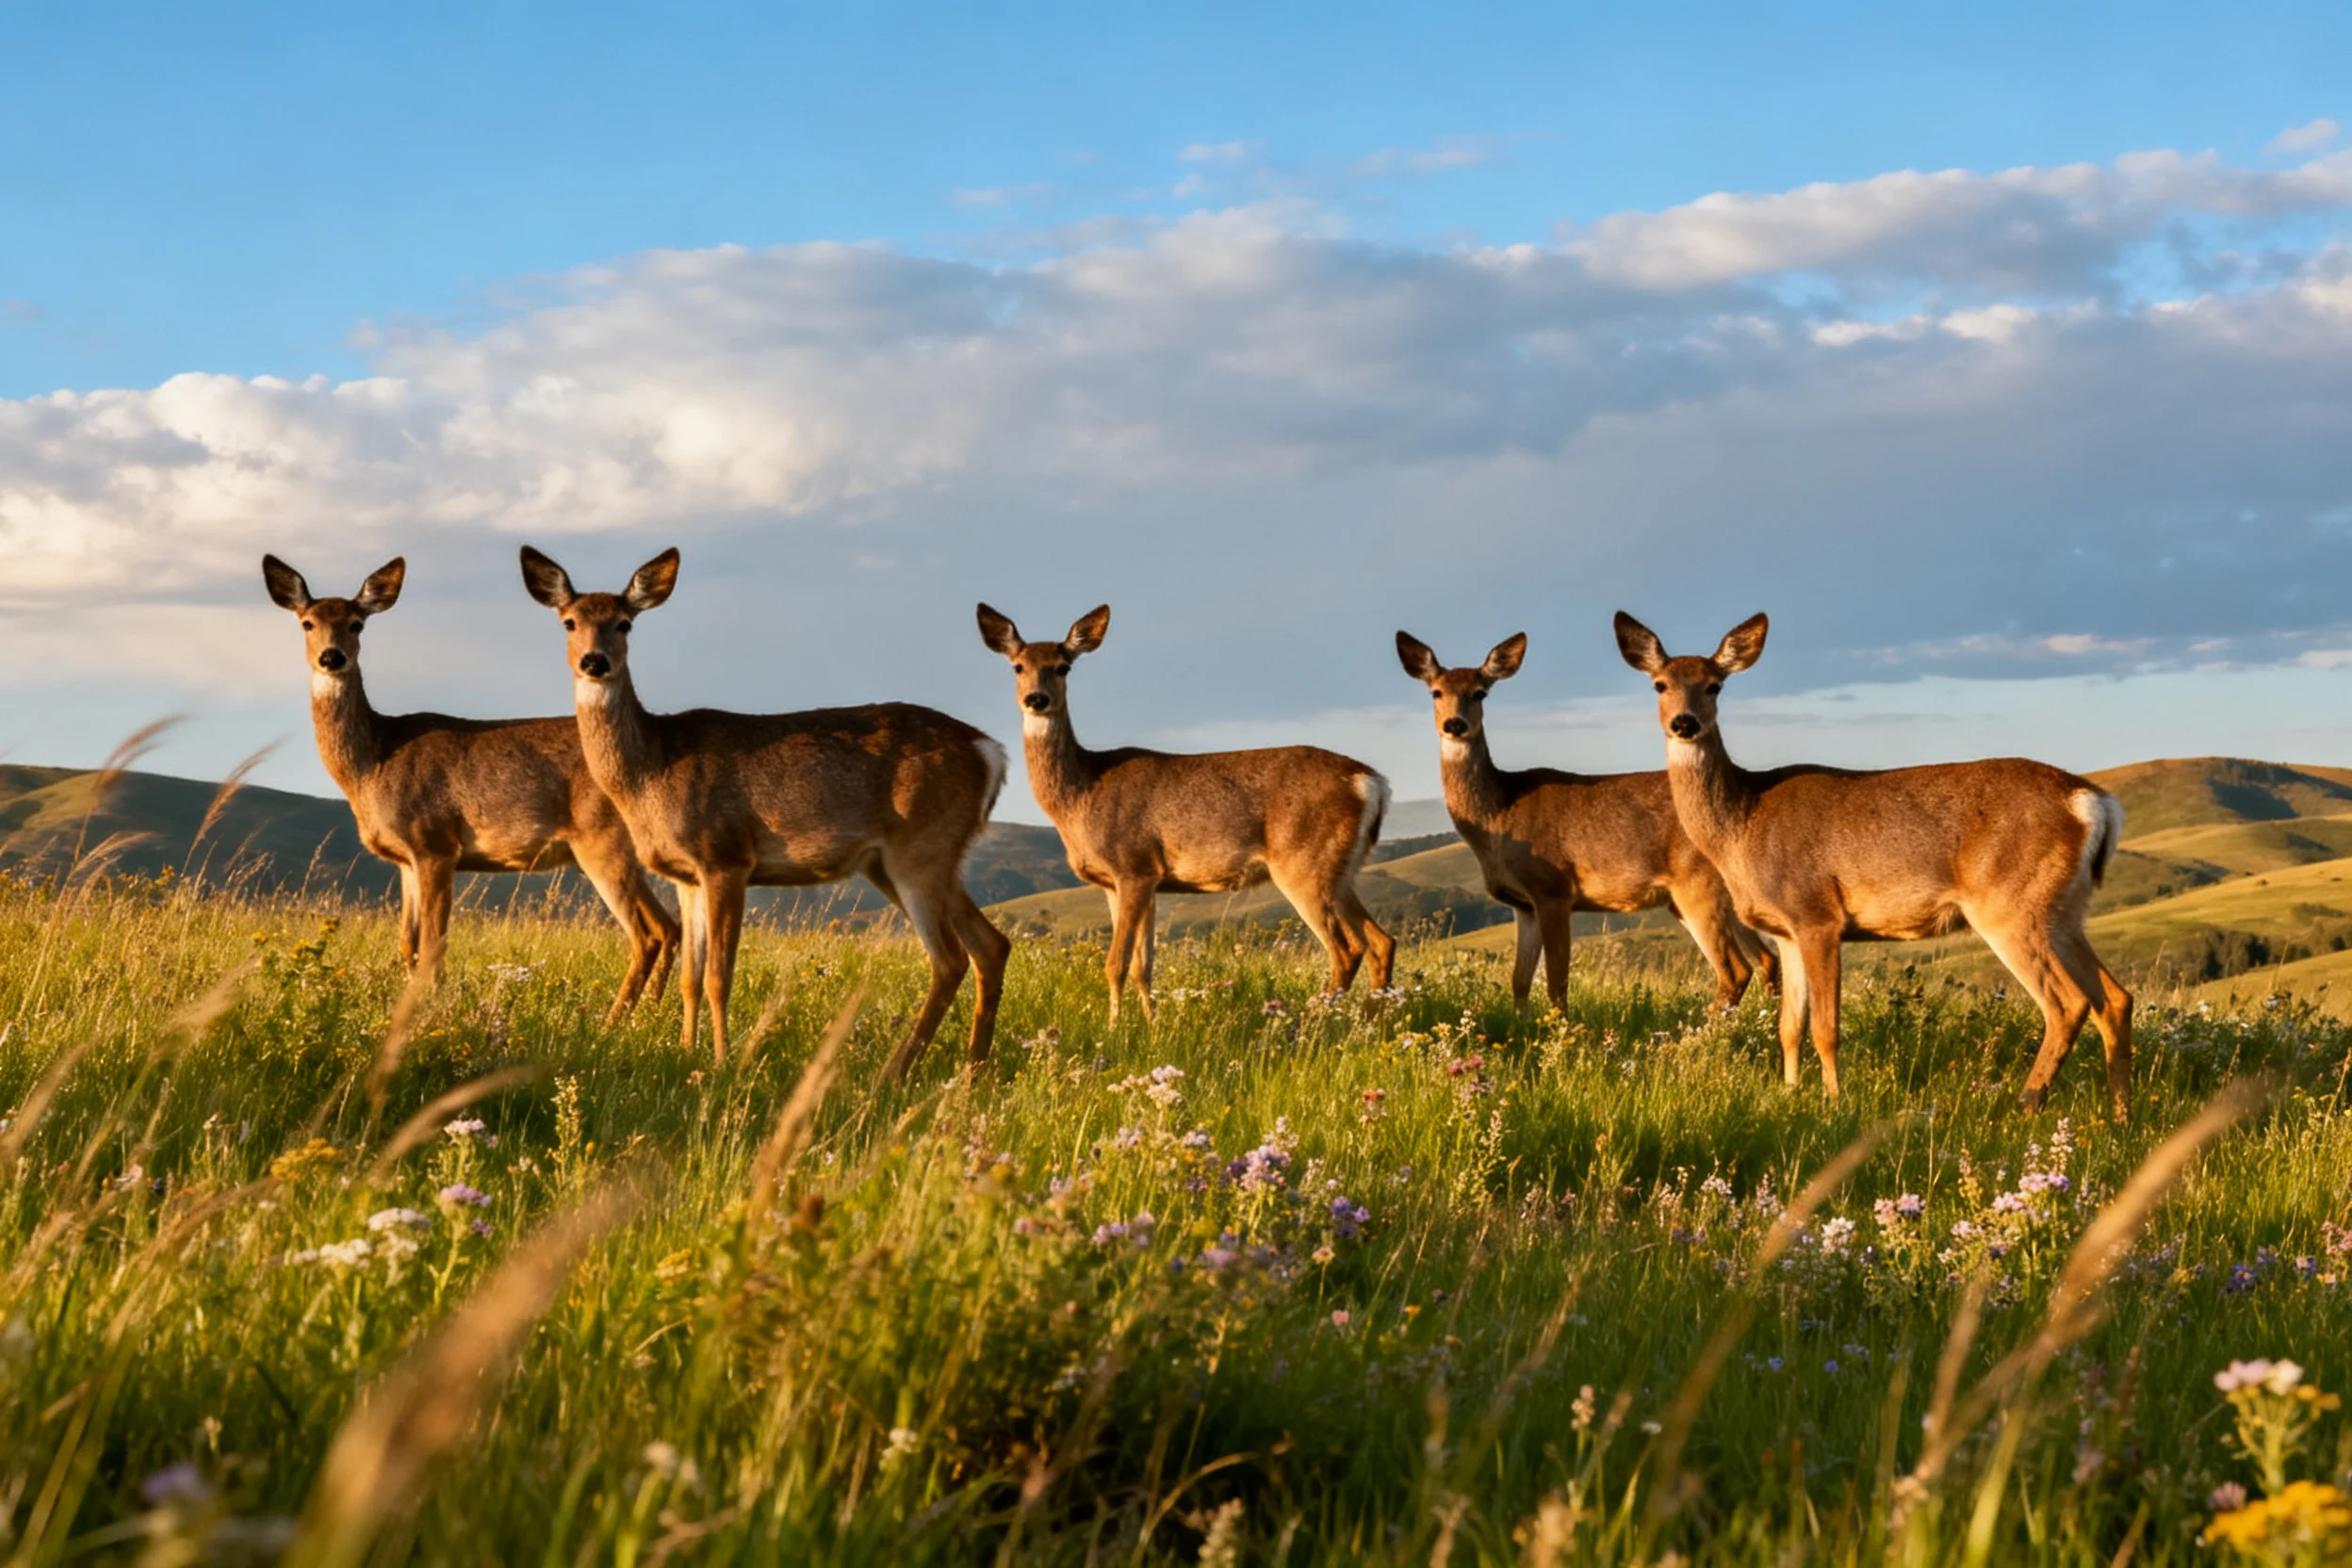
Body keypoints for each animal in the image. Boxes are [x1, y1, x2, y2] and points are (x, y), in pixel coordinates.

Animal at [261, 555, 678, 1019]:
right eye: (307, 622)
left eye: (357, 624)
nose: (331, 657)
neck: (375, 762)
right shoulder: (406, 860)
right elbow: (408, 946)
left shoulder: (435, 843)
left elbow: (433, 945)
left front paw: (433, 1011)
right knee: (670, 928)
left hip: (602, 841)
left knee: (650, 932)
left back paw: (615, 1020)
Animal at [520, 546, 1011, 1076]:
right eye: (569, 622)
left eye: (625, 623)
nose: (595, 661)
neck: (651, 769)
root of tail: (990, 751)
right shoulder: (686, 876)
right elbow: (690, 978)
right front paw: (686, 1053)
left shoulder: (726, 856)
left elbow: (718, 976)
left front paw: (720, 1063)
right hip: (908, 861)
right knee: (991, 946)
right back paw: (973, 1069)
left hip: (919, 850)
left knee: (950, 958)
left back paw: (895, 1072)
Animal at [976, 603, 1394, 1021]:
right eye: (1017, 666)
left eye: (1064, 666)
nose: (1036, 699)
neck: (1082, 795)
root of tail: (1372, 782)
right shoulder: (1133, 882)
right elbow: (1144, 966)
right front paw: (1150, 1024)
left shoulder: (1132, 867)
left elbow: (1116, 964)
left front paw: (1114, 1028)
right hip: (1340, 871)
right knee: (1382, 942)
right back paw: (1373, 1018)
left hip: (1303, 863)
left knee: (1347, 949)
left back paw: (1317, 1019)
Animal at [1395, 630, 1776, 1011]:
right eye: (1436, 691)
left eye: (1479, 692)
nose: (1455, 724)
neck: (1502, 812)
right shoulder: (1524, 905)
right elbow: (1519, 980)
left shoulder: (1553, 889)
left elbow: (1556, 981)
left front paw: (1559, 1025)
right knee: (1766, 960)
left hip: (1698, 885)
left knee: (1736, 970)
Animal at [1613, 611, 2133, 1116]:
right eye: (1659, 684)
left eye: (1714, 685)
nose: (1684, 723)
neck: (1743, 823)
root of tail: (2093, 802)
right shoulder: (1785, 931)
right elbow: (1788, 1026)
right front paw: (1788, 1095)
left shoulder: (1817, 914)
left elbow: (1825, 1027)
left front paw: (1834, 1103)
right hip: (2064, 910)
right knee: (2114, 998)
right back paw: (2118, 1115)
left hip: (2011, 904)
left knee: (2068, 1003)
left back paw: (2024, 1105)